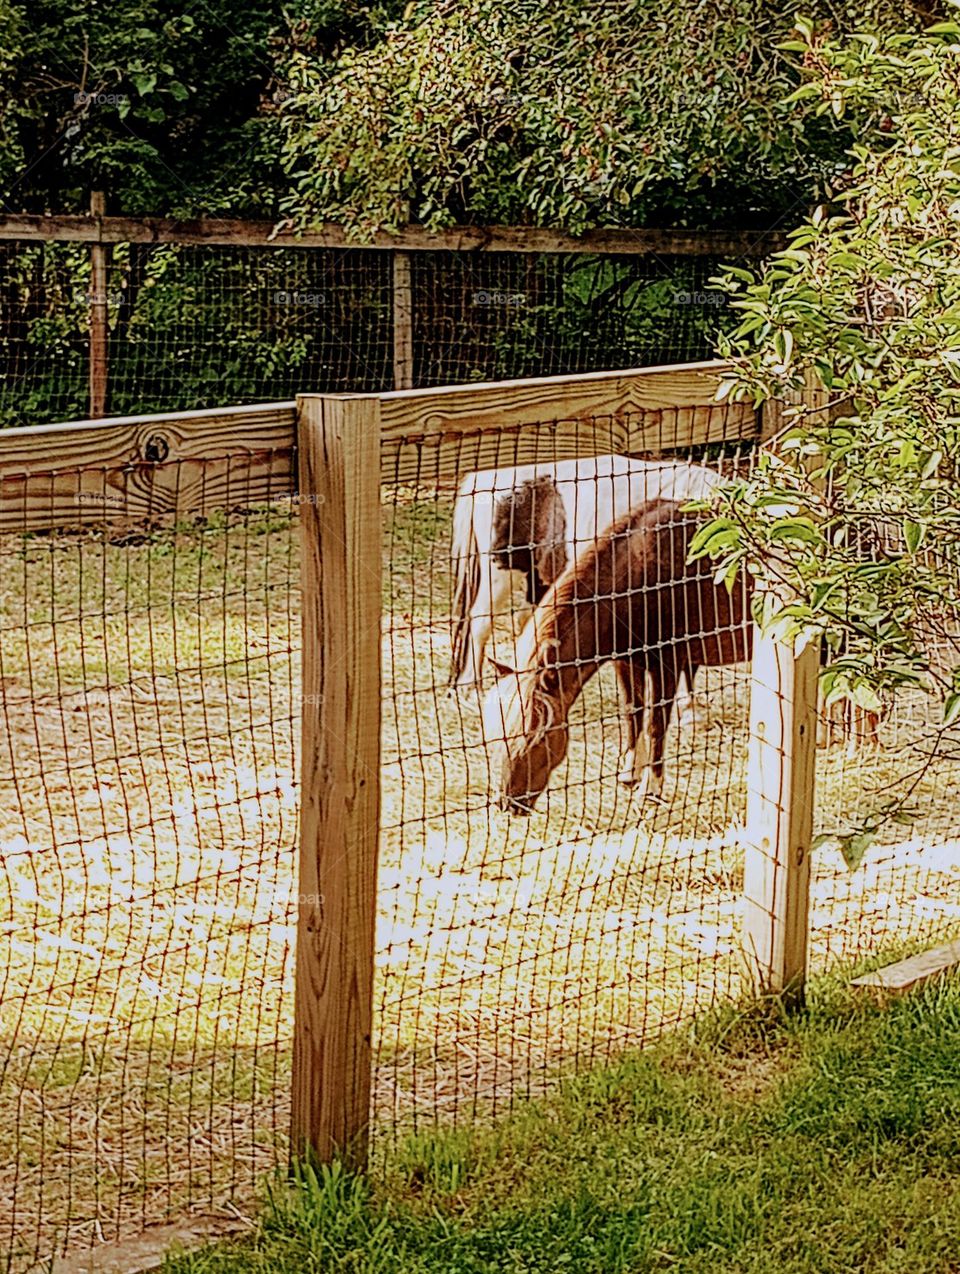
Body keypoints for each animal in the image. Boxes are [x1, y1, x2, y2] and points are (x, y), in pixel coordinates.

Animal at [480, 500, 753, 814]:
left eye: (538, 737)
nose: (508, 803)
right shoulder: (625, 661)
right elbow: (632, 712)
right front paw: (629, 773)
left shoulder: (668, 663)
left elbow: (656, 725)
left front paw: (650, 788)